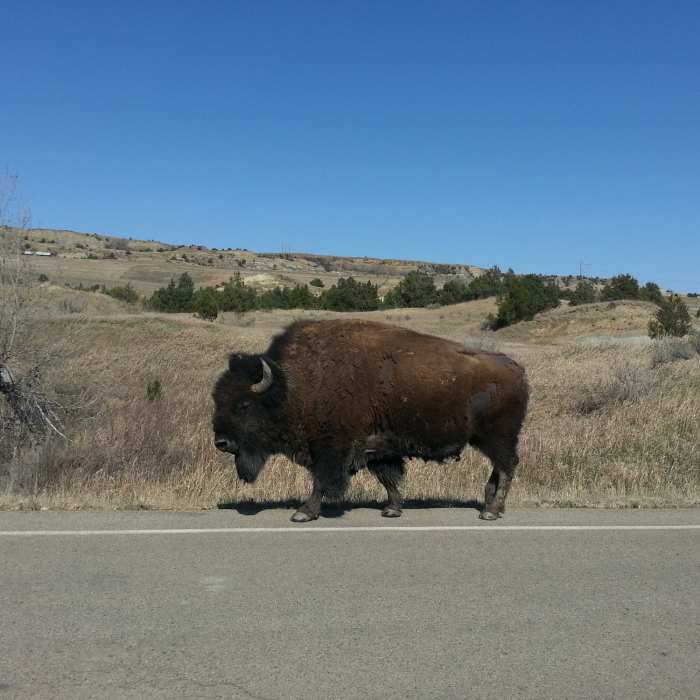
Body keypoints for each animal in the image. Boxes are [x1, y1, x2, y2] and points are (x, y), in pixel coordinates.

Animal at [212, 319, 528, 522]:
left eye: (243, 405)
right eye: (218, 400)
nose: (221, 442)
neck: (290, 386)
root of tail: (516, 368)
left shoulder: (330, 449)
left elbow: (321, 481)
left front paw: (303, 513)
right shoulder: (378, 447)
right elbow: (388, 478)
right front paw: (392, 509)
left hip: (497, 437)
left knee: (507, 467)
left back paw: (491, 512)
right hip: (488, 440)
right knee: (499, 469)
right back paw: (491, 506)